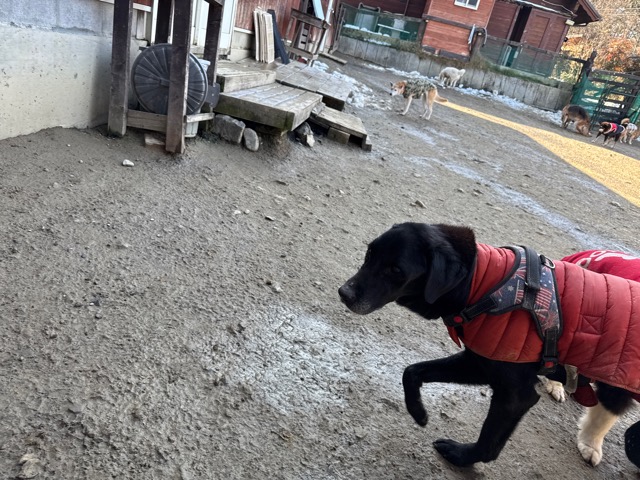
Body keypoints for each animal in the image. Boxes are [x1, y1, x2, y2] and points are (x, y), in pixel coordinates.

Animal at [339, 223, 640, 468]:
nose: (344, 293)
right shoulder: (481, 363)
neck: (483, 285)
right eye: (369, 254)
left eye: (396, 270)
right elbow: (411, 371)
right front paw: (418, 412)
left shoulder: (515, 395)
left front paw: (460, 456)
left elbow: (488, 445)